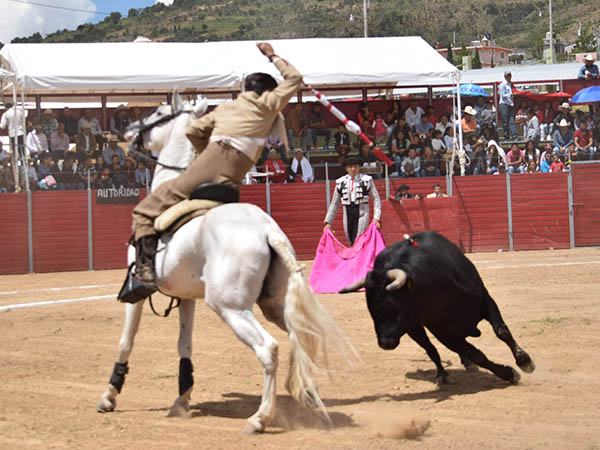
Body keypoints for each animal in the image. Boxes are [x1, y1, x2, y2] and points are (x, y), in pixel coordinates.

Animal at [96, 95, 345, 434]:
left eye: (159, 112)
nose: (128, 132)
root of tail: (267, 230)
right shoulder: (185, 296)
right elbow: (184, 345)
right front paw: (182, 399)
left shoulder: (137, 295)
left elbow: (126, 341)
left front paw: (109, 396)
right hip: (273, 304)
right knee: (299, 336)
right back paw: (305, 392)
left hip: (230, 307)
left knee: (269, 348)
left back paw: (260, 417)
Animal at [340, 231, 535, 384]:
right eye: (370, 308)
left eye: (391, 303)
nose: (385, 343)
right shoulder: (443, 333)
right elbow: (477, 355)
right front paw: (508, 373)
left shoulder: (485, 300)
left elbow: (501, 331)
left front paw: (524, 361)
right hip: (413, 328)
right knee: (431, 349)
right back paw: (443, 374)